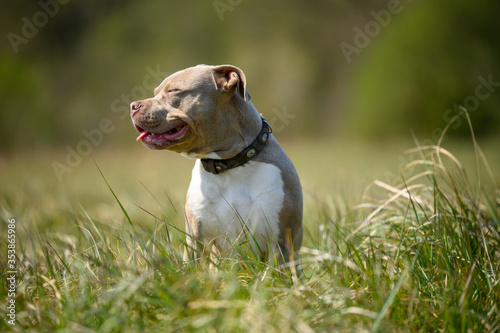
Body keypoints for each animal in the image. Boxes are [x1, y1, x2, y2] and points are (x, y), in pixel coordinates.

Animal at [131, 64, 302, 270]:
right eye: (155, 92)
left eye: (173, 91)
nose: (133, 105)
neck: (229, 165)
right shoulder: (195, 239)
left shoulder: (279, 241)